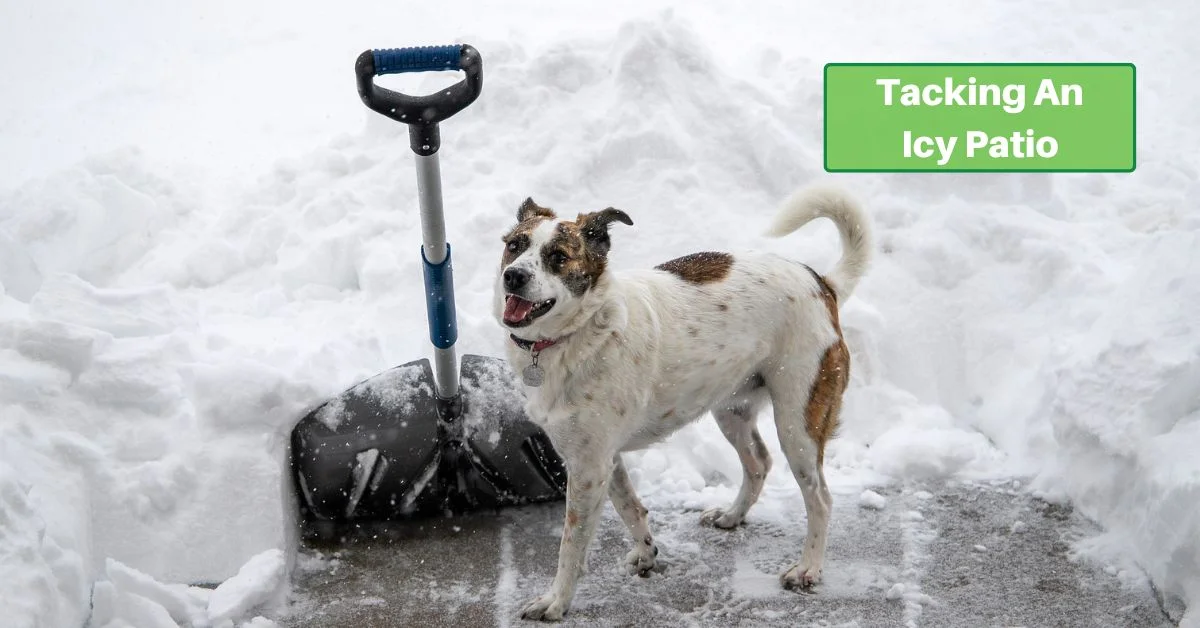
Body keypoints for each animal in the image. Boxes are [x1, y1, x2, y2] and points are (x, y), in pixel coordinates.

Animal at [492, 186, 878, 619]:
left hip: (799, 422)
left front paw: (556, 601)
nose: (513, 276)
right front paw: (646, 554)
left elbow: (571, 546)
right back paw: (731, 516)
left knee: (821, 499)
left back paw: (808, 568)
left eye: (558, 256)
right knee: (758, 463)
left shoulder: (589, 467)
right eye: (514, 246)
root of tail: (822, 282)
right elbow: (630, 507)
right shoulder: (602, 458)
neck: (579, 333)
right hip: (731, 409)